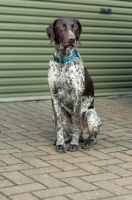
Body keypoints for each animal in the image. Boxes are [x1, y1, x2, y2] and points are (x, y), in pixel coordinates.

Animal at [46, 18, 100, 153]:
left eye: (74, 27)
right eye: (62, 27)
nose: (72, 39)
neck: (63, 59)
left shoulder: (77, 97)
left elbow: (76, 124)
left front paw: (74, 145)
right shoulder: (54, 97)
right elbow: (58, 126)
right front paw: (60, 144)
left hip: (91, 115)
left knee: (92, 137)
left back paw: (86, 142)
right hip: (59, 112)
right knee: (67, 133)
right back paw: (64, 139)